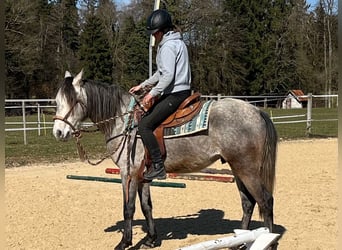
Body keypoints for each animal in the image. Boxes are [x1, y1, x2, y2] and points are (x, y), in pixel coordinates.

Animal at [52, 69, 278, 249]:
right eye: (56, 101)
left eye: (72, 101)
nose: (58, 132)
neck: (125, 122)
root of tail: (256, 110)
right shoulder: (143, 176)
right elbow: (146, 206)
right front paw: (151, 239)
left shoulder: (128, 173)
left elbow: (129, 208)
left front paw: (125, 242)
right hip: (237, 168)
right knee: (248, 203)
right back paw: (238, 242)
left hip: (247, 169)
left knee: (265, 201)